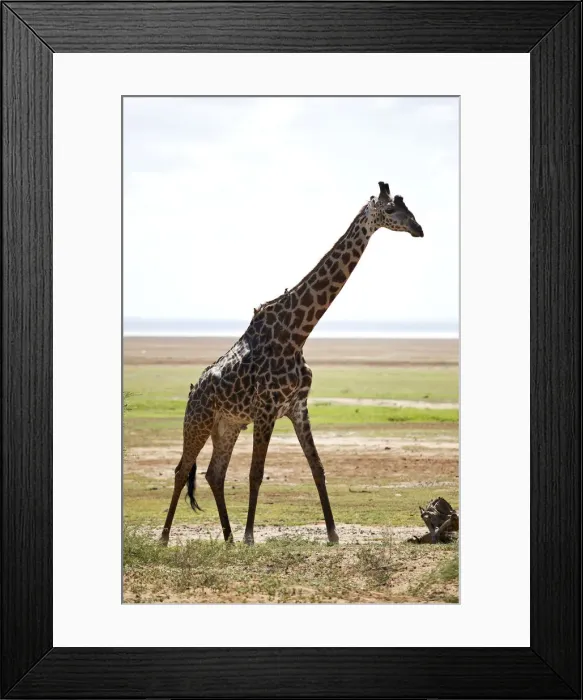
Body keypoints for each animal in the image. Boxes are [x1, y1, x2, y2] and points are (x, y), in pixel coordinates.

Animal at [160, 181, 424, 545]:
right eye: (389, 210)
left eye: (408, 207)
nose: (418, 229)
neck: (298, 333)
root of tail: (192, 391)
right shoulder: (267, 408)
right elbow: (256, 473)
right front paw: (250, 538)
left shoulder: (297, 406)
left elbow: (317, 467)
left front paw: (333, 534)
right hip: (198, 420)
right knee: (182, 469)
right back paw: (166, 538)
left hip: (227, 425)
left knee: (215, 473)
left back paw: (227, 538)